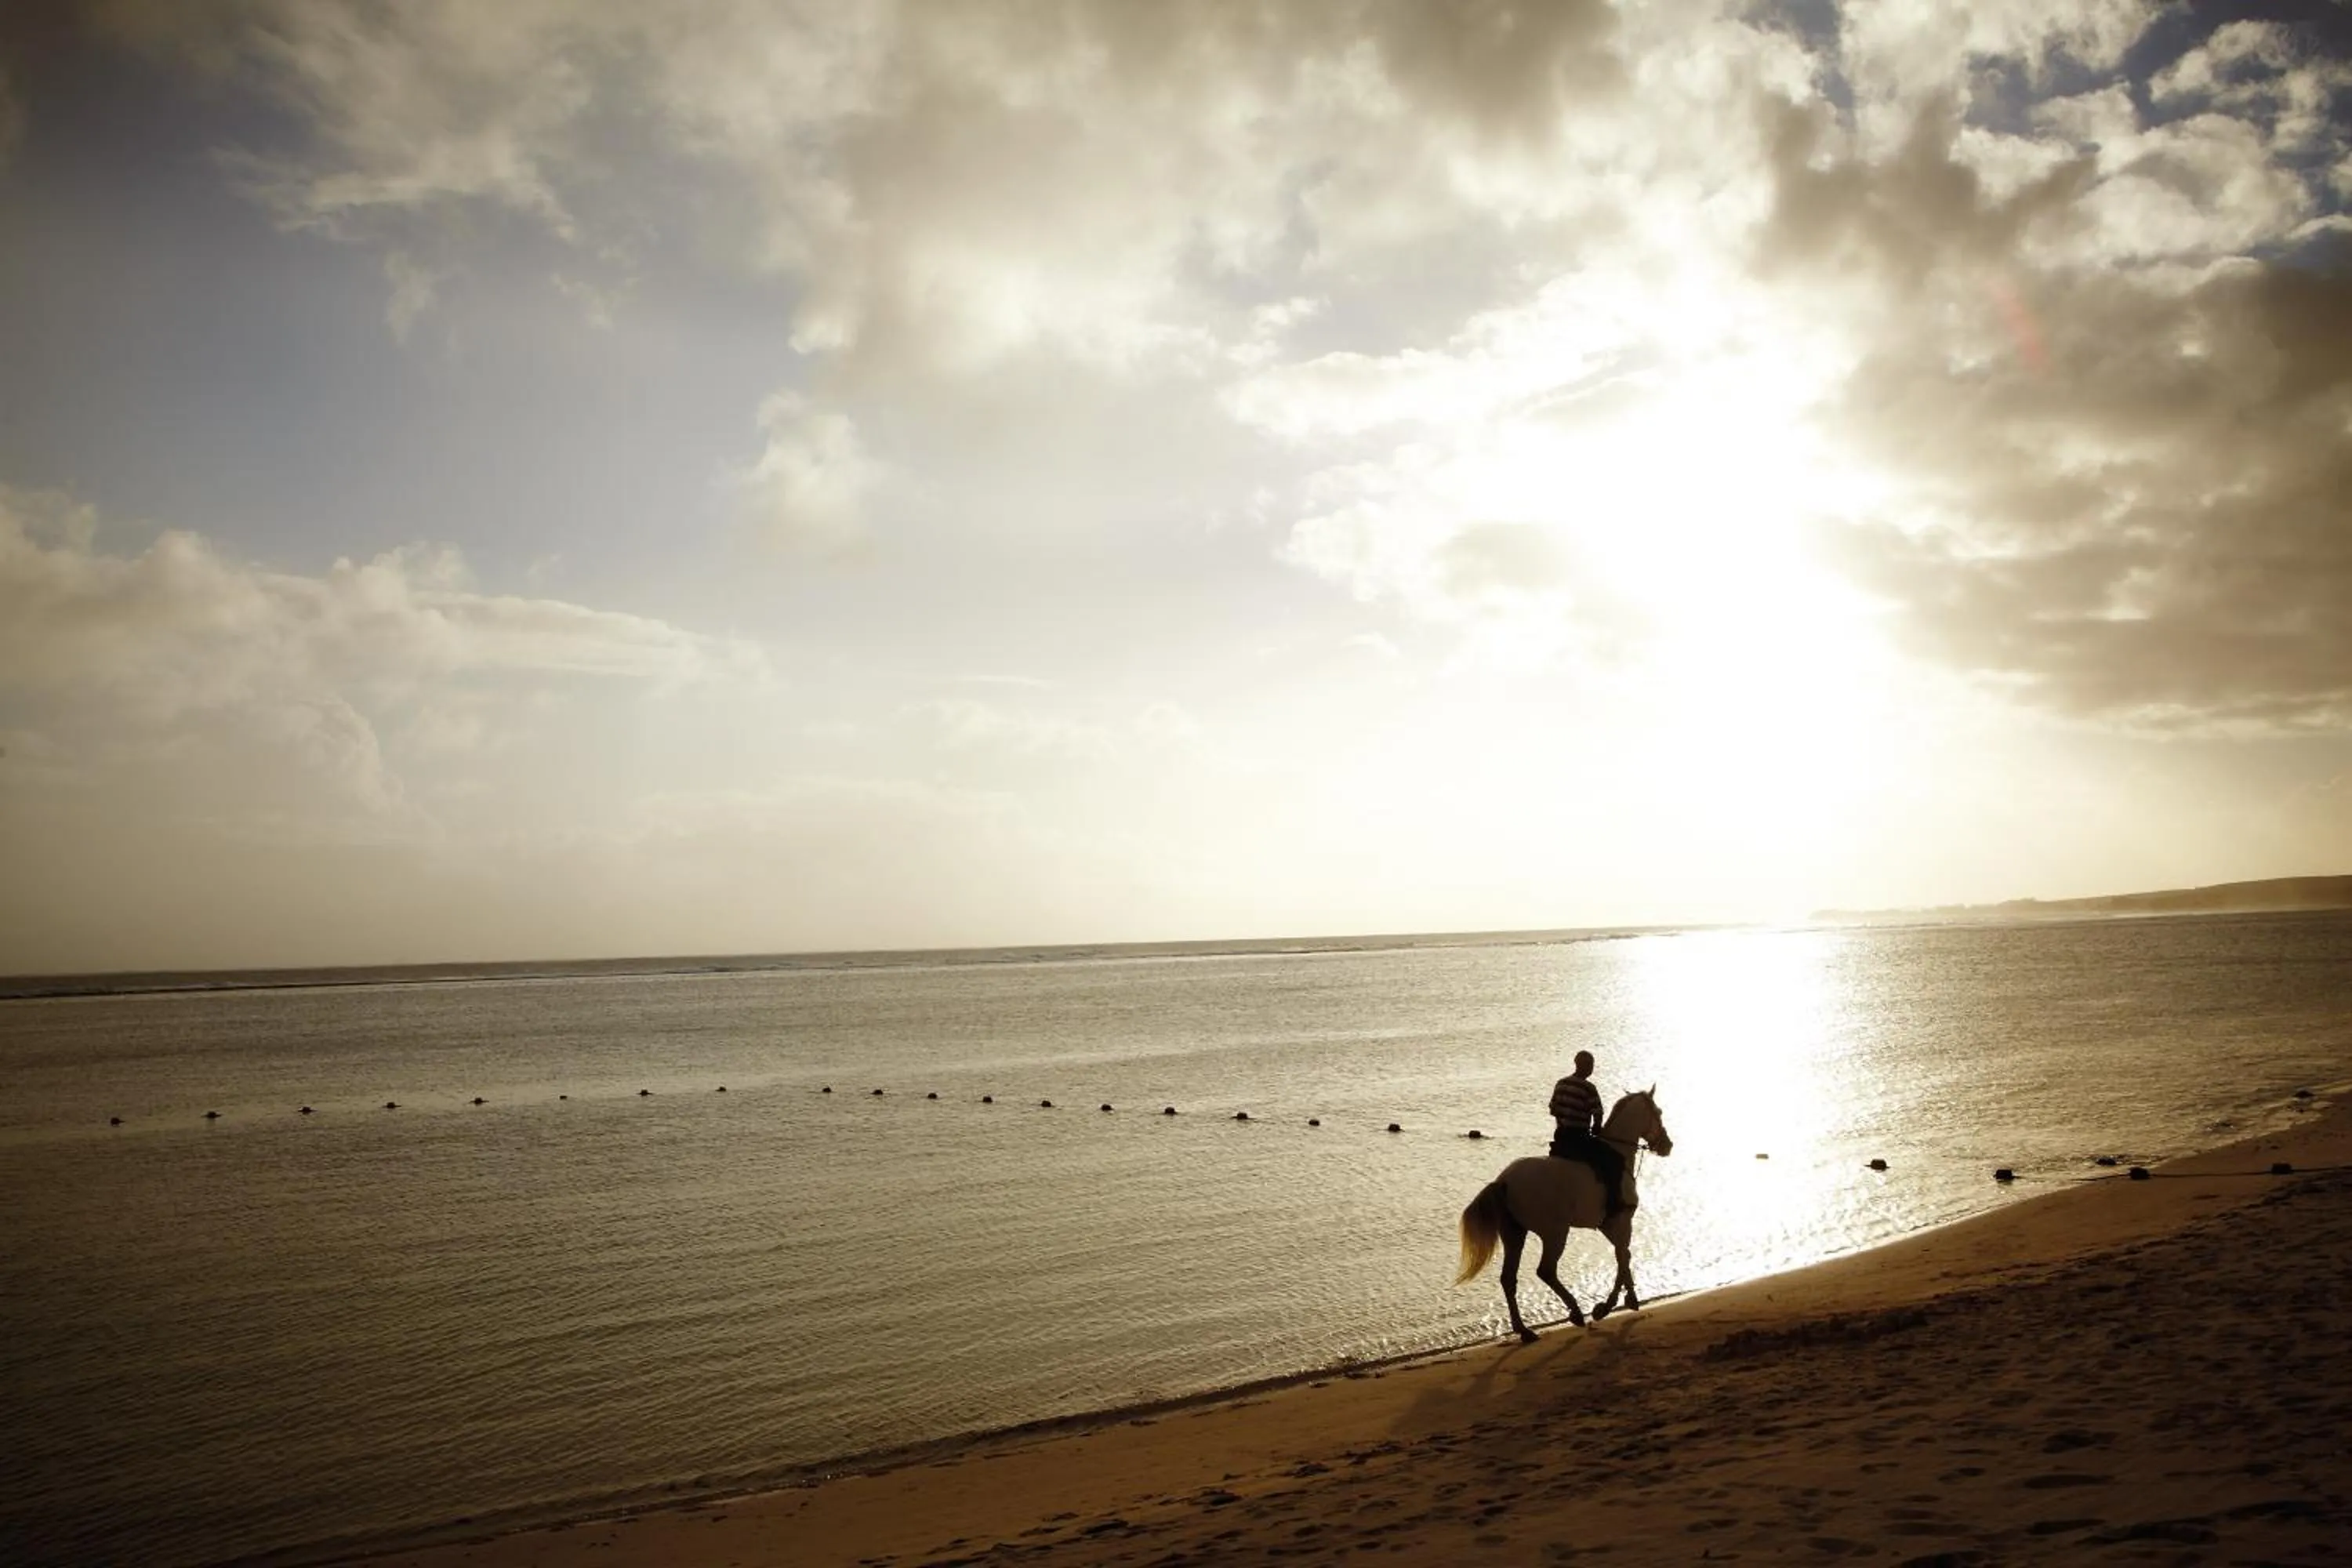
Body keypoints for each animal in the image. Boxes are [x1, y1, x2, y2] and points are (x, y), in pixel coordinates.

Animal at [1456, 1088, 1673, 1342]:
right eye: (1658, 1112)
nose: (1667, 1145)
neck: (1618, 1154)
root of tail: (1504, 1181)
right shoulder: (1621, 1221)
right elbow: (1623, 1256)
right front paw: (1609, 1306)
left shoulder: (1608, 1226)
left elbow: (1624, 1256)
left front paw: (1626, 1300)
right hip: (1555, 1233)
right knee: (1546, 1271)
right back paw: (1576, 1312)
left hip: (1514, 1234)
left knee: (1509, 1278)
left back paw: (1524, 1330)